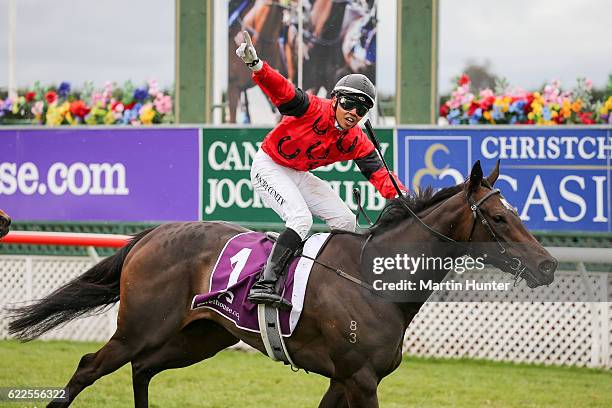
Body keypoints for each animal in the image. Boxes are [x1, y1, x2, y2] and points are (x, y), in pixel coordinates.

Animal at [8, 161, 560, 406]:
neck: (372, 280)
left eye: (515, 212)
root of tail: (153, 233)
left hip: (200, 336)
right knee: (89, 367)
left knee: (142, 369)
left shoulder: (344, 378)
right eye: (498, 218)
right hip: (140, 327)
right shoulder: (360, 378)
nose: (549, 266)